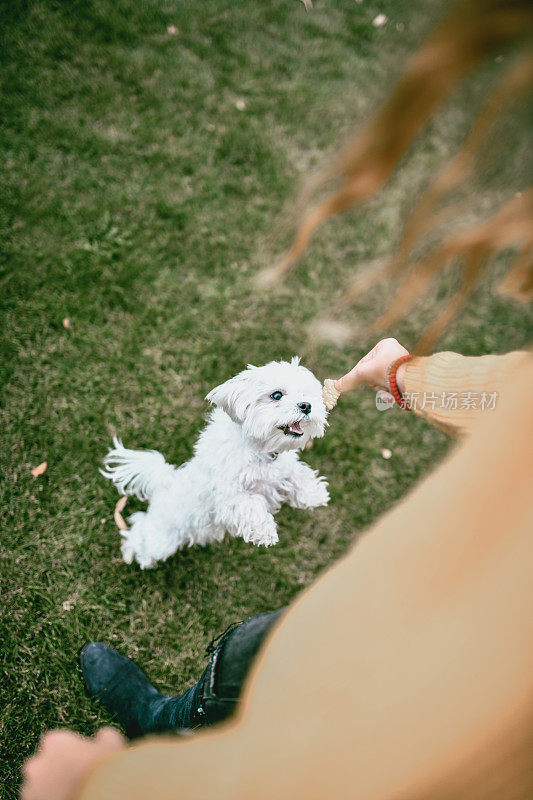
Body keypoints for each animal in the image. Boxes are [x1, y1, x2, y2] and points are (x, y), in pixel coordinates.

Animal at [100, 360, 328, 564]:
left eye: (306, 394)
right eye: (277, 395)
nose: (306, 406)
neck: (257, 450)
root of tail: (164, 484)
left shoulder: (280, 472)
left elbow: (298, 474)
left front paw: (315, 494)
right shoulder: (227, 496)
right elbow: (251, 504)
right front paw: (265, 531)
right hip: (161, 540)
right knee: (139, 535)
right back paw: (131, 553)